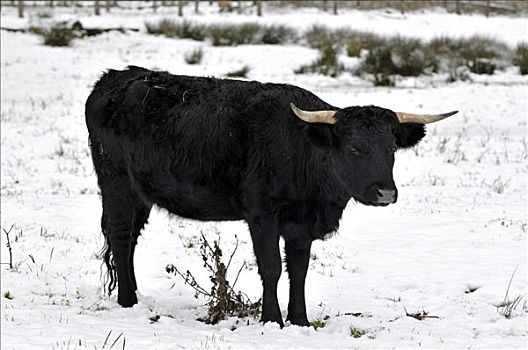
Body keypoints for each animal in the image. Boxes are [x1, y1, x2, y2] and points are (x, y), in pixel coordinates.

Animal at [84, 66, 456, 328]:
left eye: (391, 148)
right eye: (354, 148)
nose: (385, 192)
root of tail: (114, 79)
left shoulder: (300, 225)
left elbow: (299, 269)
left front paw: (300, 320)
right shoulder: (262, 216)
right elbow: (272, 267)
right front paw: (272, 319)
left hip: (141, 194)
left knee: (130, 240)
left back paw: (134, 294)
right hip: (117, 183)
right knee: (120, 236)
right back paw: (127, 300)